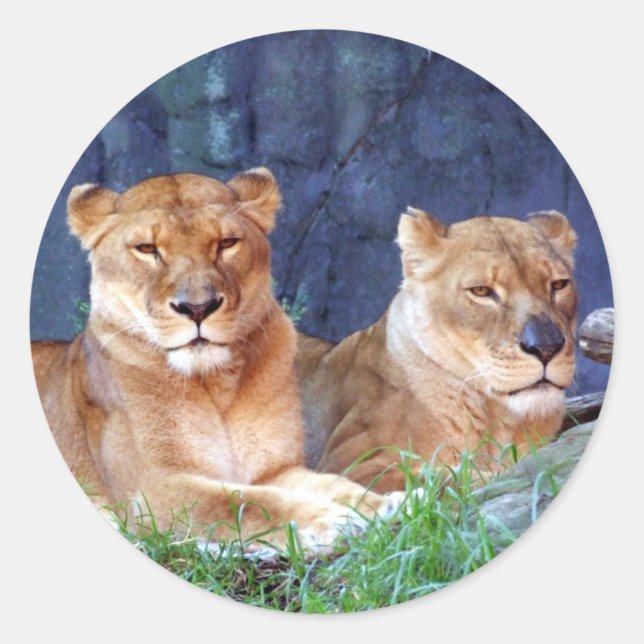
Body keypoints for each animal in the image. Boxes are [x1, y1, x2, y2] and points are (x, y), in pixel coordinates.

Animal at [31, 169, 405, 554]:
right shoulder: (153, 491)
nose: (198, 307)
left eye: (227, 243)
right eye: (147, 249)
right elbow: (245, 503)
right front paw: (333, 520)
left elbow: (332, 485)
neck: (215, 381)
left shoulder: (274, 470)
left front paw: (390, 505)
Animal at [297, 207, 578, 492]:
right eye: (481, 291)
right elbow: (451, 477)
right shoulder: (350, 465)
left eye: (558, 284)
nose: (546, 347)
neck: (499, 416)